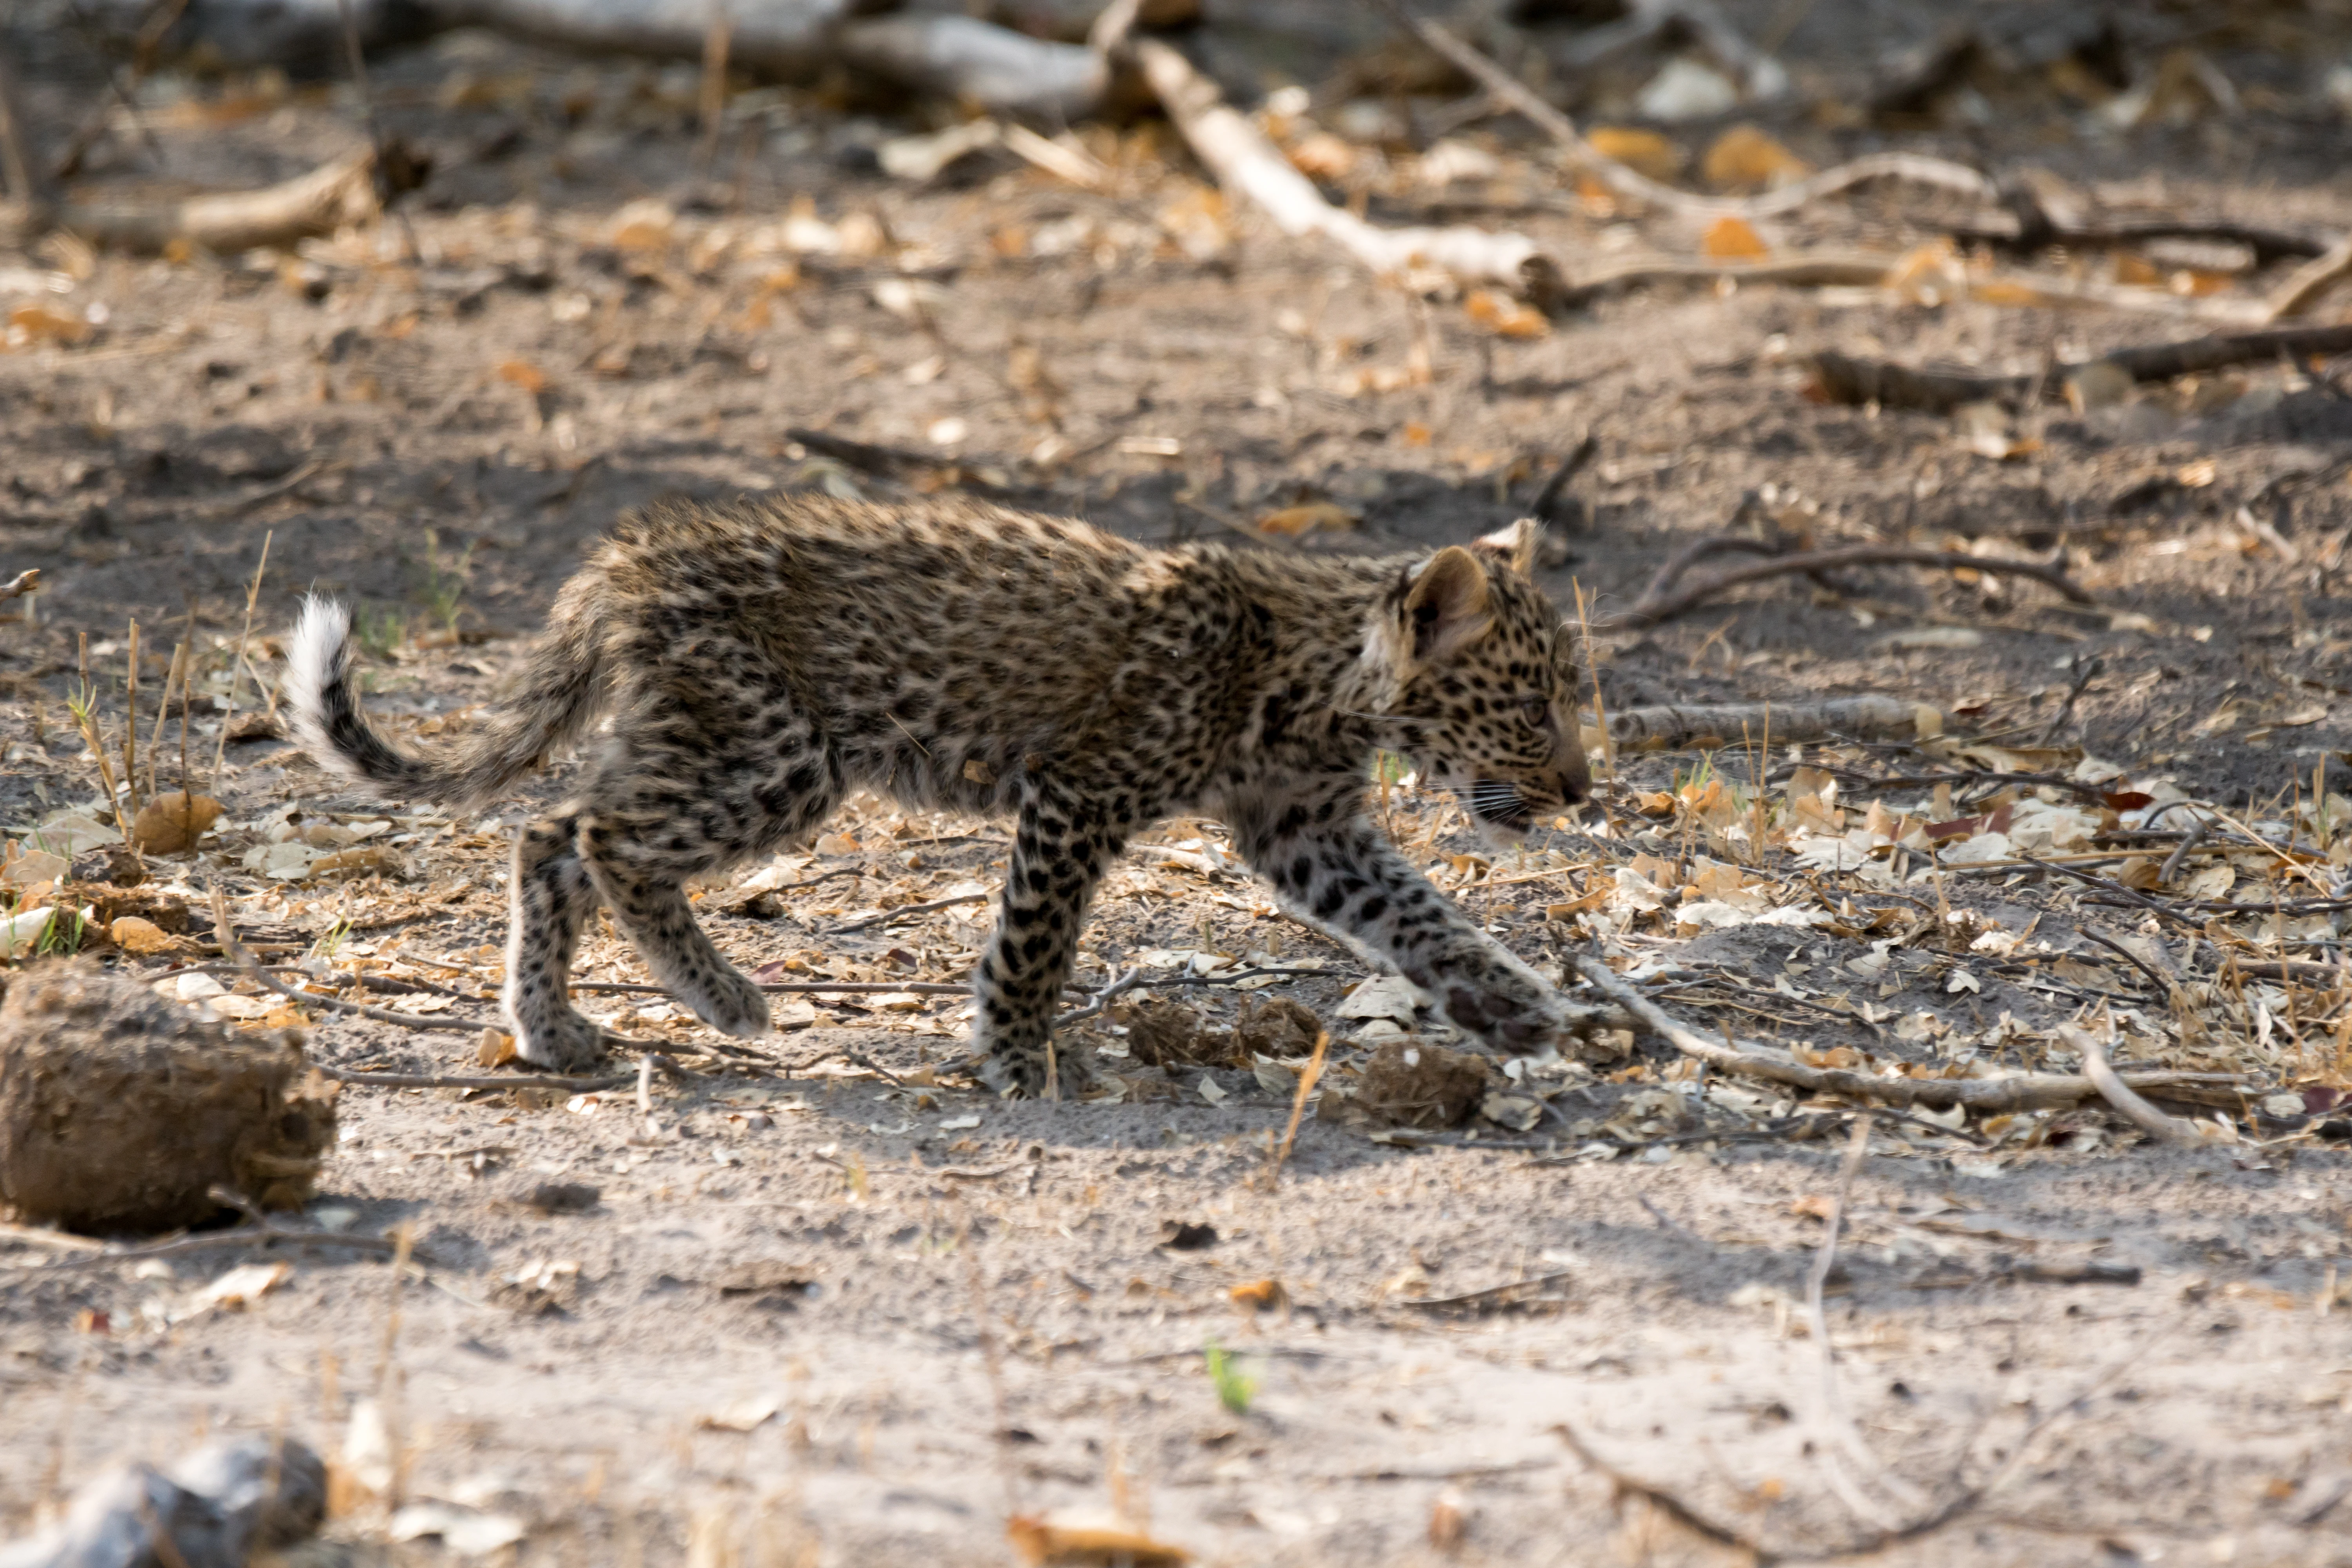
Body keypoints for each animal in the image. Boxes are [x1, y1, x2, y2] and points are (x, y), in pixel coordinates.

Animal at [283, 491, 1612, 1094]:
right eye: (1530, 702)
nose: (1582, 784)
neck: (1325, 679)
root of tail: (629, 559)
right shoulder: (1079, 793)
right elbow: (1035, 939)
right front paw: (1017, 1057)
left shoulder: (1307, 830)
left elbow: (1421, 917)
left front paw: (1512, 1011)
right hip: (778, 755)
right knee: (597, 834)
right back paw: (722, 997)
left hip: (703, 737)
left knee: (546, 833)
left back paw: (553, 1030)